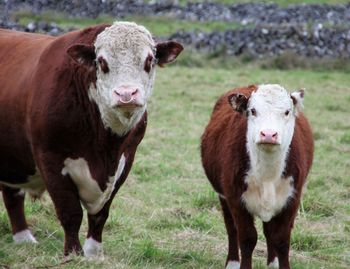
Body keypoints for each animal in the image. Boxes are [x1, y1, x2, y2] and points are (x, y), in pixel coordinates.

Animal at [0, 21, 185, 255]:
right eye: (102, 62)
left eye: (149, 60)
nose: (126, 94)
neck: (105, 146)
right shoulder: (50, 158)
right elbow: (70, 212)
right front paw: (73, 254)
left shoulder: (125, 161)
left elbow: (100, 214)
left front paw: (93, 253)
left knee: (12, 194)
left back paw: (23, 238)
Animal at [201, 84, 314, 268]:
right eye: (253, 111)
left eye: (287, 111)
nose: (268, 134)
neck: (268, 175)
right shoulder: (236, 199)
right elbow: (247, 238)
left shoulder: (292, 200)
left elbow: (281, 239)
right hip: (223, 196)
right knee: (231, 228)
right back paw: (232, 263)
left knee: (269, 232)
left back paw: (272, 263)